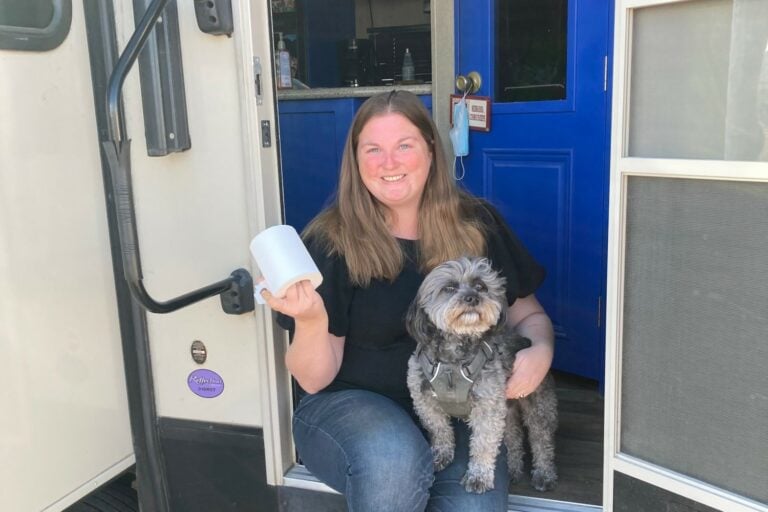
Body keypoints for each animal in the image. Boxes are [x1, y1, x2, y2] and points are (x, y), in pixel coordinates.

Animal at [408, 258, 560, 494]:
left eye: (481, 286)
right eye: (449, 288)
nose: (473, 298)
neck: (452, 361)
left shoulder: (487, 409)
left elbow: (483, 444)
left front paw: (478, 477)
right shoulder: (424, 401)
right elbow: (439, 429)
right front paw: (441, 455)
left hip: (538, 408)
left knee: (541, 440)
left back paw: (544, 474)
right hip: (507, 410)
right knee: (513, 438)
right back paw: (513, 469)